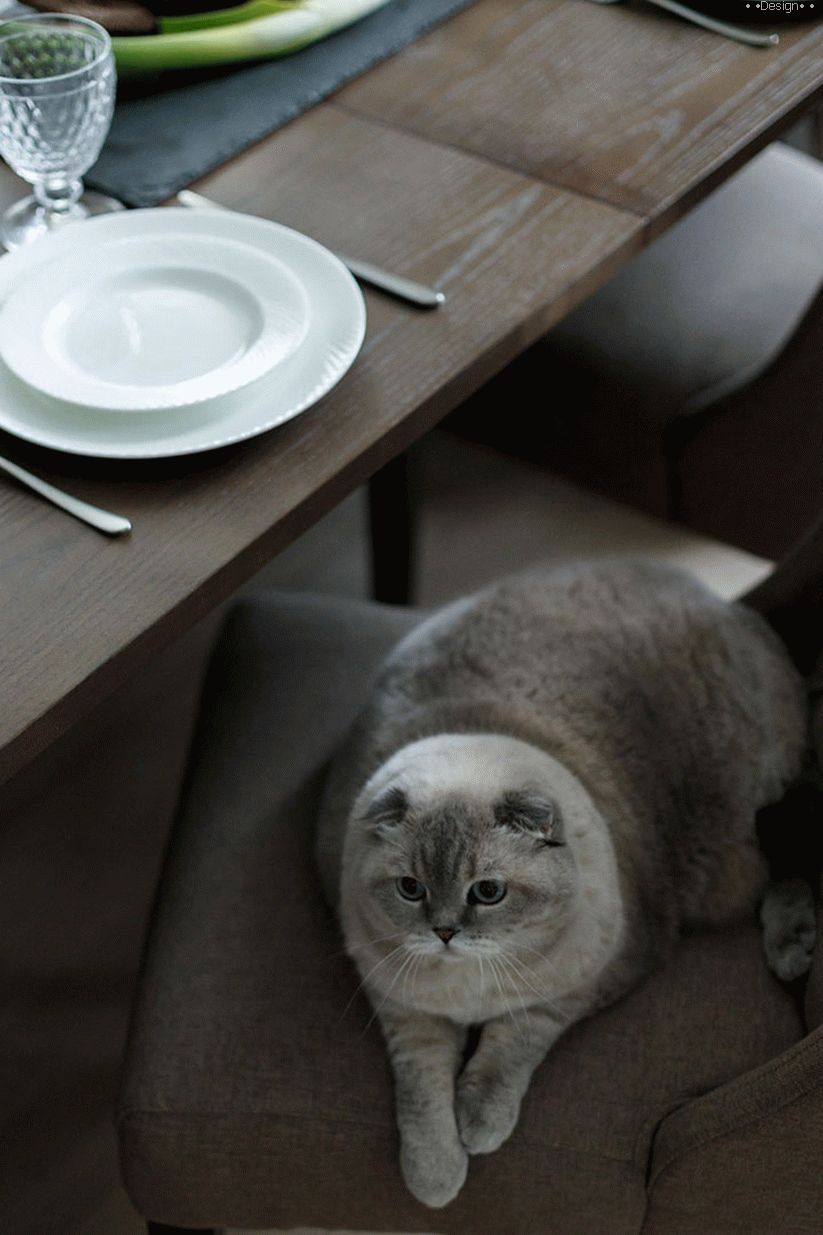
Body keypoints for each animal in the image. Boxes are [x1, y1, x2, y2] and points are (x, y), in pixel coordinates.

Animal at [313, 558, 805, 1205]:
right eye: (411, 889)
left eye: (487, 892)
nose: (444, 933)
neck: (468, 990)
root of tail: (719, 600)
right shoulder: (399, 1003)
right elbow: (421, 1090)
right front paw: (436, 1176)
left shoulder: (588, 979)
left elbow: (512, 1044)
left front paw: (479, 1125)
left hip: (740, 851)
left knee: (791, 867)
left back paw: (793, 949)